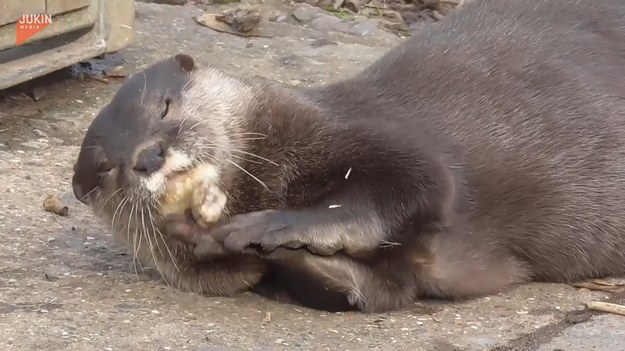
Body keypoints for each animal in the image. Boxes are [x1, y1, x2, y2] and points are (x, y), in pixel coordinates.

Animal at [72, 0, 624, 314]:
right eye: (106, 167)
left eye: (164, 106)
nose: (147, 156)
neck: (276, 175)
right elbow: (371, 290)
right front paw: (210, 241)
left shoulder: (378, 138)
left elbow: (414, 184)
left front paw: (270, 226)